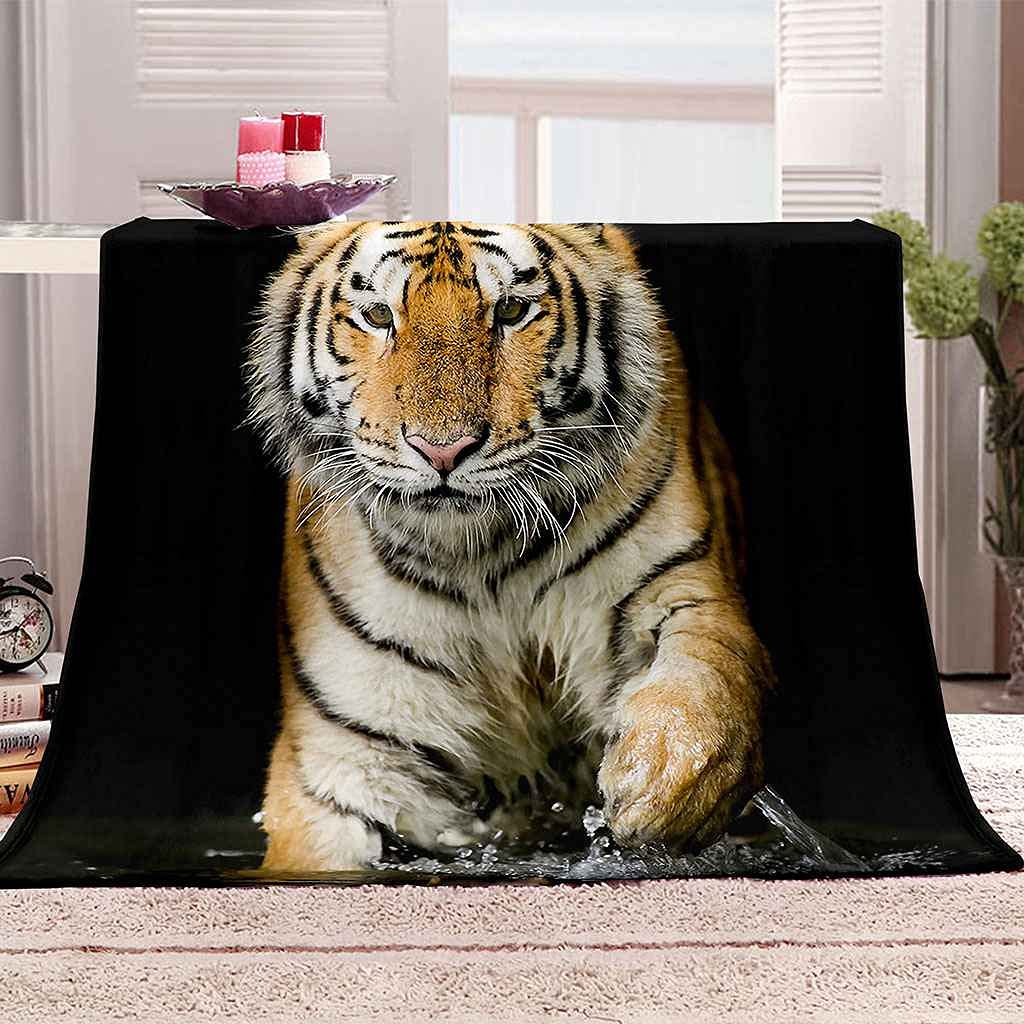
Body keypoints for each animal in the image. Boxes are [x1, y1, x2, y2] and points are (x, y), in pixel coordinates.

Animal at [245, 221, 774, 872]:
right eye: (376, 315)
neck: (480, 557)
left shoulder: (675, 581)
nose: (441, 449)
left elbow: (708, 668)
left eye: (512, 310)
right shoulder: (346, 757)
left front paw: (665, 776)